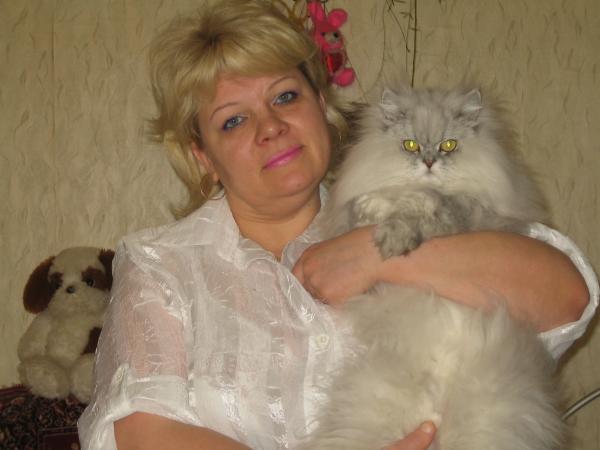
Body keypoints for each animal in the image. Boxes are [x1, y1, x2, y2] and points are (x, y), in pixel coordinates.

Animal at [303, 86, 565, 450]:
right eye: (411, 145)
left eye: (449, 145)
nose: (429, 163)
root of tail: (436, 414)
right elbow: (373, 205)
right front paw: (378, 214)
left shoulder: (471, 212)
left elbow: (426, 204)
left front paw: (394, 235)